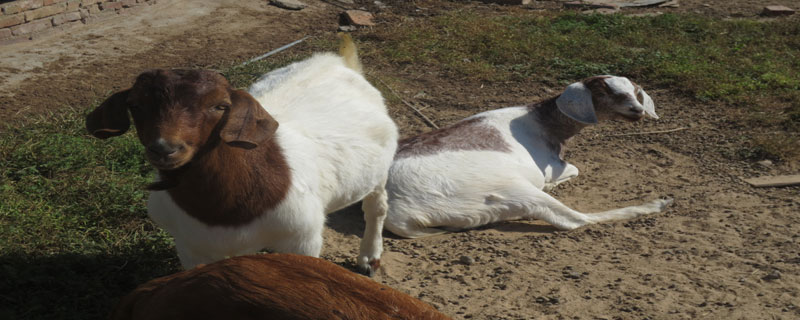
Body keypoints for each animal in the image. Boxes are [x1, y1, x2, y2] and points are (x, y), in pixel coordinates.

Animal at [86, 35, 398, 276]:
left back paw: (369, 259)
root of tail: (334, 61)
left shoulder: (301, 238)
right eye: (135, 105)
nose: (165, 148)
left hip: (379, 171)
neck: (224, 210)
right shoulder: (190, 247)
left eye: (220, 106)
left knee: (376, 206)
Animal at [384, 76, 672, 239]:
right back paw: (658, 204)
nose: (637, 111)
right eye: (604, 91)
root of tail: (397, 212)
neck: (542, 121)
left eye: (635, 91)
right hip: (512, 190)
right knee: (574, 220)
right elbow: (573, 169)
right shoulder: (551, 166)